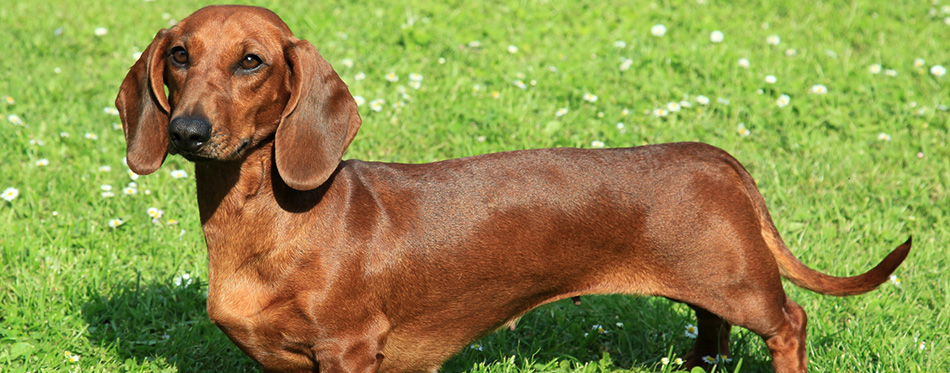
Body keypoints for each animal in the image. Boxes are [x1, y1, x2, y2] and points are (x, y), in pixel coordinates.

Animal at [115, 5, 912, 372]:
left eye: (251, 61)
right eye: (179, 54)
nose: (186, 131)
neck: (271, 224)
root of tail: (718, 157)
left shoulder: (350, 348)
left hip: (743, 285)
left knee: (790, 321)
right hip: (709, 287)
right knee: (710, 336)